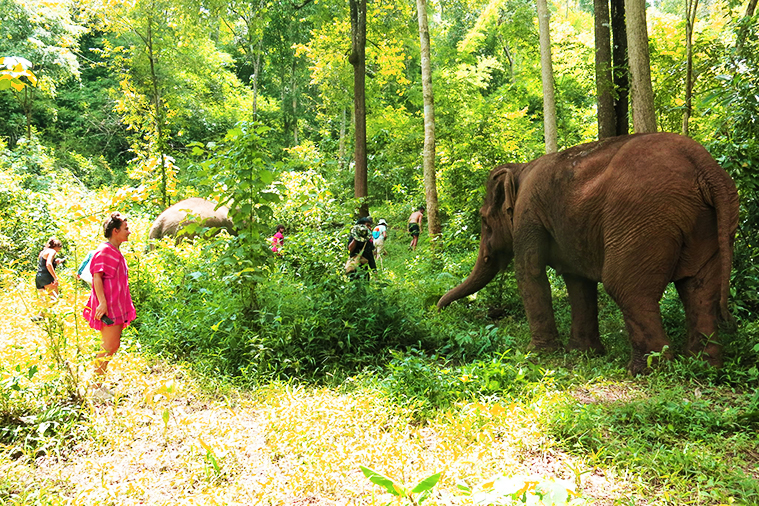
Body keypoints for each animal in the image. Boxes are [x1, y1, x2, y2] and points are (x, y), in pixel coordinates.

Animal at [440, 132, 744, 374]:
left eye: (483, 220)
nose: (439, 308)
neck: (521, 169)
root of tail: (704, 165)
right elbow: (577, 280)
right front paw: (582, 353)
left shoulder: (528, 211)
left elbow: (530, 271)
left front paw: (538, 354)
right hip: (708, 222)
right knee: (699, 290)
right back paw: (703, 366)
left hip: (644, 218)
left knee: (625, 288)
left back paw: (644, 371)